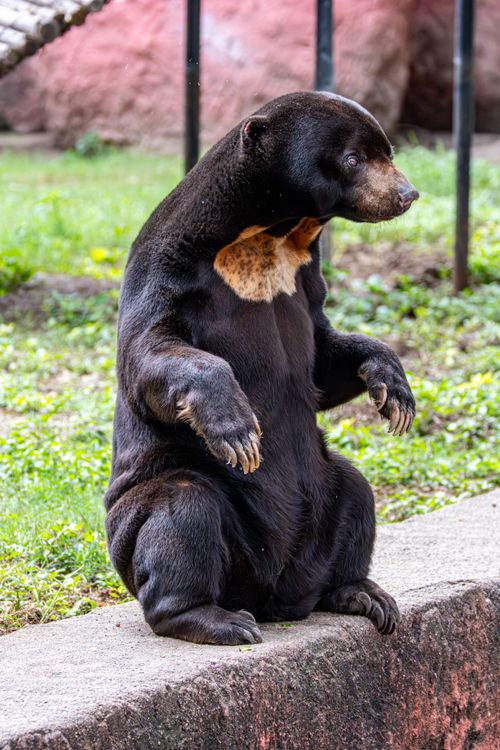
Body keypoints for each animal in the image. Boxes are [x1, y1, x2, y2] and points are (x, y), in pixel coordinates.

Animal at [104, 91, 418, 646]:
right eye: (354, 158)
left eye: (388, 151)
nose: (407, 194)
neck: (267, 236)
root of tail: (275, 593)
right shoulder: (169, 268)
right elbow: (148, 353)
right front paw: (237, 429)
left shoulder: (303, 276)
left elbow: (321, 357)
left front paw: (394, 392)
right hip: (143, 518)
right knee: (183, 511)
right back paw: (217, 619)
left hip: (322, 493)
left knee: (356, 492)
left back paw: (361, 594)